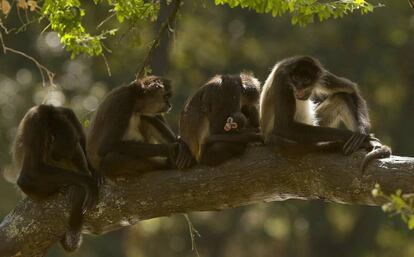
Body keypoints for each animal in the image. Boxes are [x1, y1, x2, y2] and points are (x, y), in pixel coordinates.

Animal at [11, 104, 99, 252]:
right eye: (59, 155)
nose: (58, 158)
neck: (49, 116)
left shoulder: (68, 113)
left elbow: (82, 142)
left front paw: (95, 174)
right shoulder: (36, 125)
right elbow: (28, 174)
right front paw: (86, 181)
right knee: (27, 181)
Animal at [260, 55, 390, 170]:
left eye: (306, 79)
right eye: (296, 78)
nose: (299, 87)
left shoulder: (322, 74)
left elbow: (351, 89)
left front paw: (362, 131)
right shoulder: (282, 79)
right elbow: (285, 127)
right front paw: (351, 136)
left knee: (342, 96)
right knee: (276, 139)